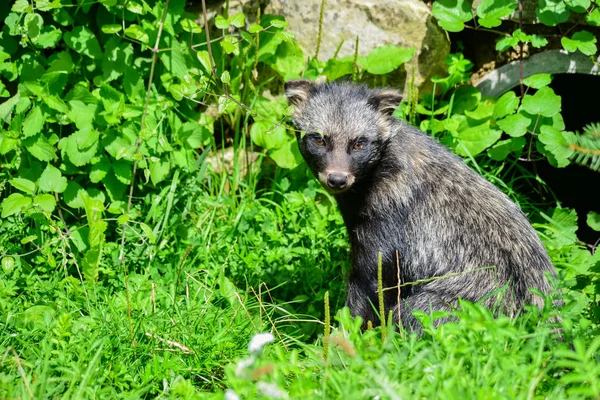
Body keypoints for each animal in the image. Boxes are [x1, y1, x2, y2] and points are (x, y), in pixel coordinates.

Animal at [286, 79, 556, 332]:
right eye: (319, 140)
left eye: (359, 143)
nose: (337, 178)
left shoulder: (391, 207)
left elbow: (373, 279)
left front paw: (346, 334)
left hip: (466, 299)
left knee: (413, 313)